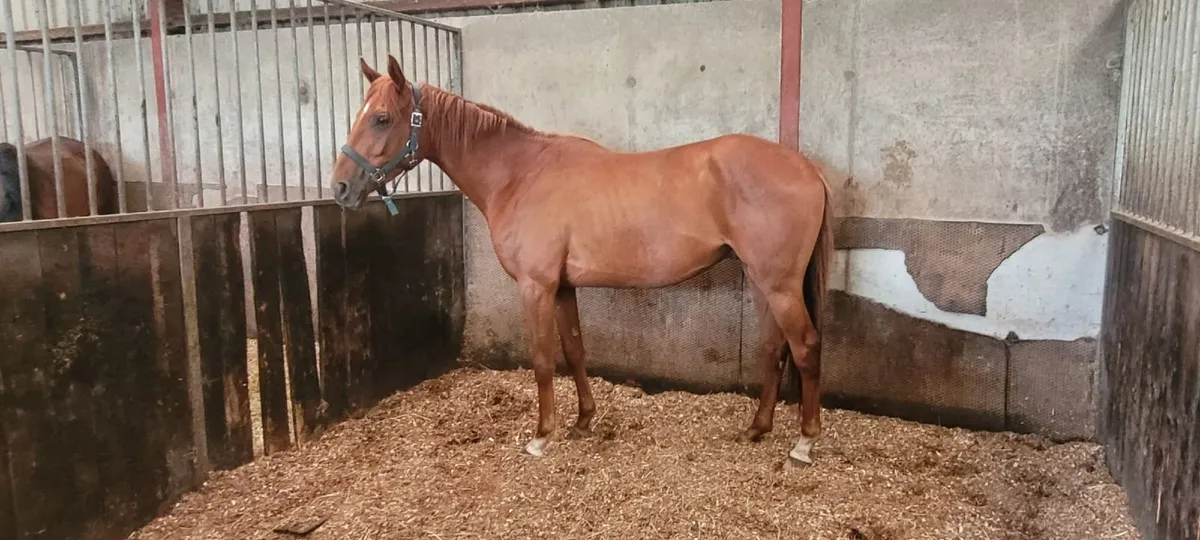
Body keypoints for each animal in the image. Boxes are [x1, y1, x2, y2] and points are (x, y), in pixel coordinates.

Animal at [330, 55, 834, 466]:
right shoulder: (563, 286)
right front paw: (583, 420)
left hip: (780, 285)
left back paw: (804, 442)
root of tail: (808, 169)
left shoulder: (535, 285)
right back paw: (758, 427)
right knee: (775, 349)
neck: (520, 174)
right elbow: (574, 350)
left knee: (806, 346)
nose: (340, 189)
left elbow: (542, 358)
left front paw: (541, 436)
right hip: (765, 282)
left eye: (381, 118)